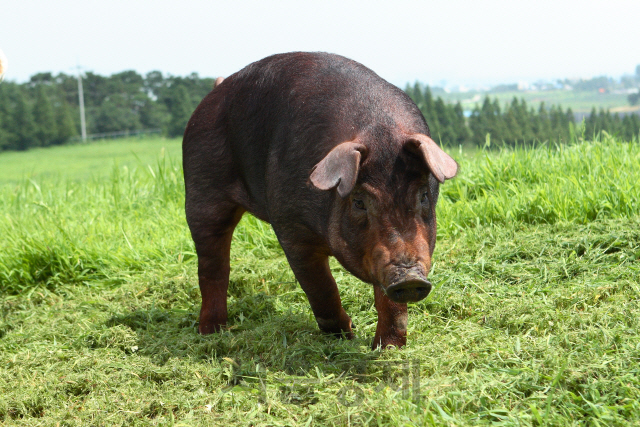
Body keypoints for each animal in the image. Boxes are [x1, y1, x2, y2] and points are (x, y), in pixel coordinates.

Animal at [182, 51, 458, 350]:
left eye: (423, 195)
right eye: (359, 202)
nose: (408, 278)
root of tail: (216, 90)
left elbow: (390, 303)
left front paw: (388, 348)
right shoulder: (291, 227)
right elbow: (321, 287)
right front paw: (346, 335)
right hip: (201, 187)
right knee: (213, 265)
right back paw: (212, 333)